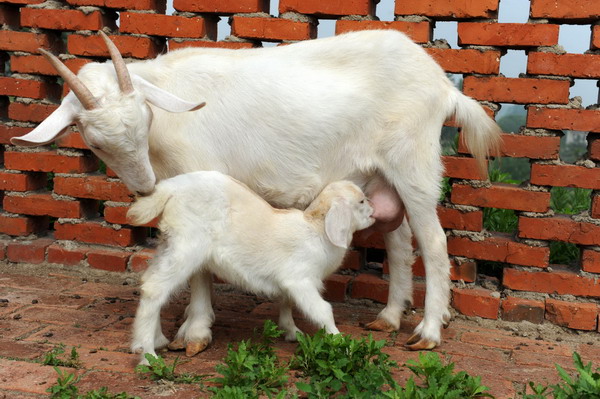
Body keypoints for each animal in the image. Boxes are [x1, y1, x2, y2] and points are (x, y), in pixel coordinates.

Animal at [127, 172, 376, 362]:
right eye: (361, 202)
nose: (374, 210)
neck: (316, 229)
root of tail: (171, 189)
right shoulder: (300, 280)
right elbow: (323, 310)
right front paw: (341, 342)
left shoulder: (288, 283)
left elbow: (286, 303)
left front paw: (291, 332)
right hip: (186, 248)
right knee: (155, 289)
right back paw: (147, 355)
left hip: (168, 244)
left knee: (148, 282)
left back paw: (157, 340)